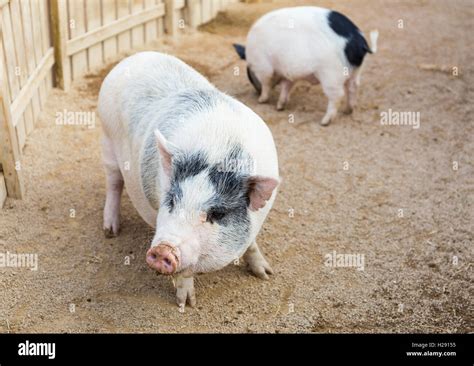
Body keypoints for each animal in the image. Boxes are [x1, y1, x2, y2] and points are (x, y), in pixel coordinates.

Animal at [98, 51, 280, 308]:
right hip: (106, 141)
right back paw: (110, 231)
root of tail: (136, 56)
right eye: (172, 201)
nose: (163, 250)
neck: (217, 152)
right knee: (114, 183)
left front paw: (266, 274)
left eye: (217, 214)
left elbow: (251, 244)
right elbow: (186, 272)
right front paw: (187, 304)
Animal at [231, 5, 380, 125]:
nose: (255, 92)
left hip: (331, 75)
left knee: (337, 95)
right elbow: (286, 86)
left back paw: (324, 122)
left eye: (250, 74)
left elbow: (266, 83)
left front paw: (261, 100)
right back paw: (348, 110)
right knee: (353, 88)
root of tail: (358, 41)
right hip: (355, 72)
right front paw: (280, 107)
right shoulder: (288, 72)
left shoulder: (263, 66)